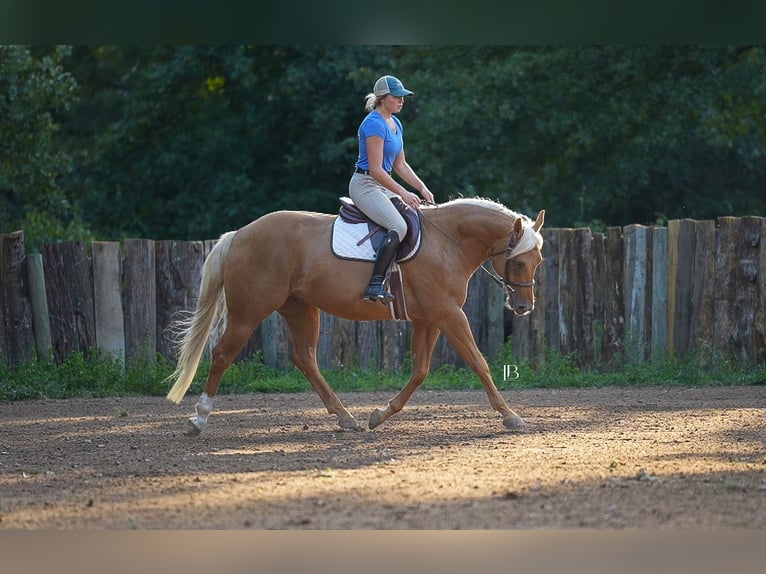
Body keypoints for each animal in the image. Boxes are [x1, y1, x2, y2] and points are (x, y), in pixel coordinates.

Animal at [165, 197, 545, 435]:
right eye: (519, 262)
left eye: (538, 261)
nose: (524, 307)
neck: (447, 242)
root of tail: (240, 234)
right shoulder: (449, 315)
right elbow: (479, 362)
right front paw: (511, 416)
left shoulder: (430, 319)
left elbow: (420, 371)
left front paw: (379, 416)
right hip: (249, 311)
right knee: (222, 354)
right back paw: (199, 420)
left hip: (301, 308)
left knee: (305, 358)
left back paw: (346, 418)